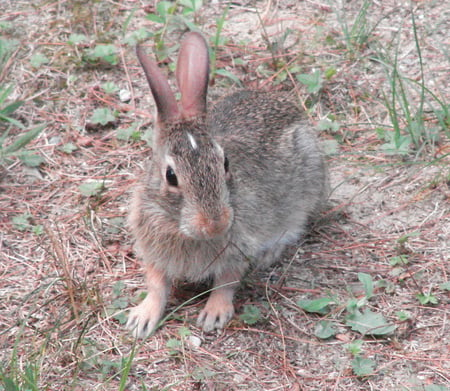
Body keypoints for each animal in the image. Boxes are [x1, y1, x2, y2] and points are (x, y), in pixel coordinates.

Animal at [126, 32, 326, 340]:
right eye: (171, 176)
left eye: (225, 163)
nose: (215, 225)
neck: (182, 228)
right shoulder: (153, 249)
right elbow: (157, 284)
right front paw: (142, 320)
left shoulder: (238, 248)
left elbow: (226, 282)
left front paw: (214, 314)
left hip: (307, 187)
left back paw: (269, 253)